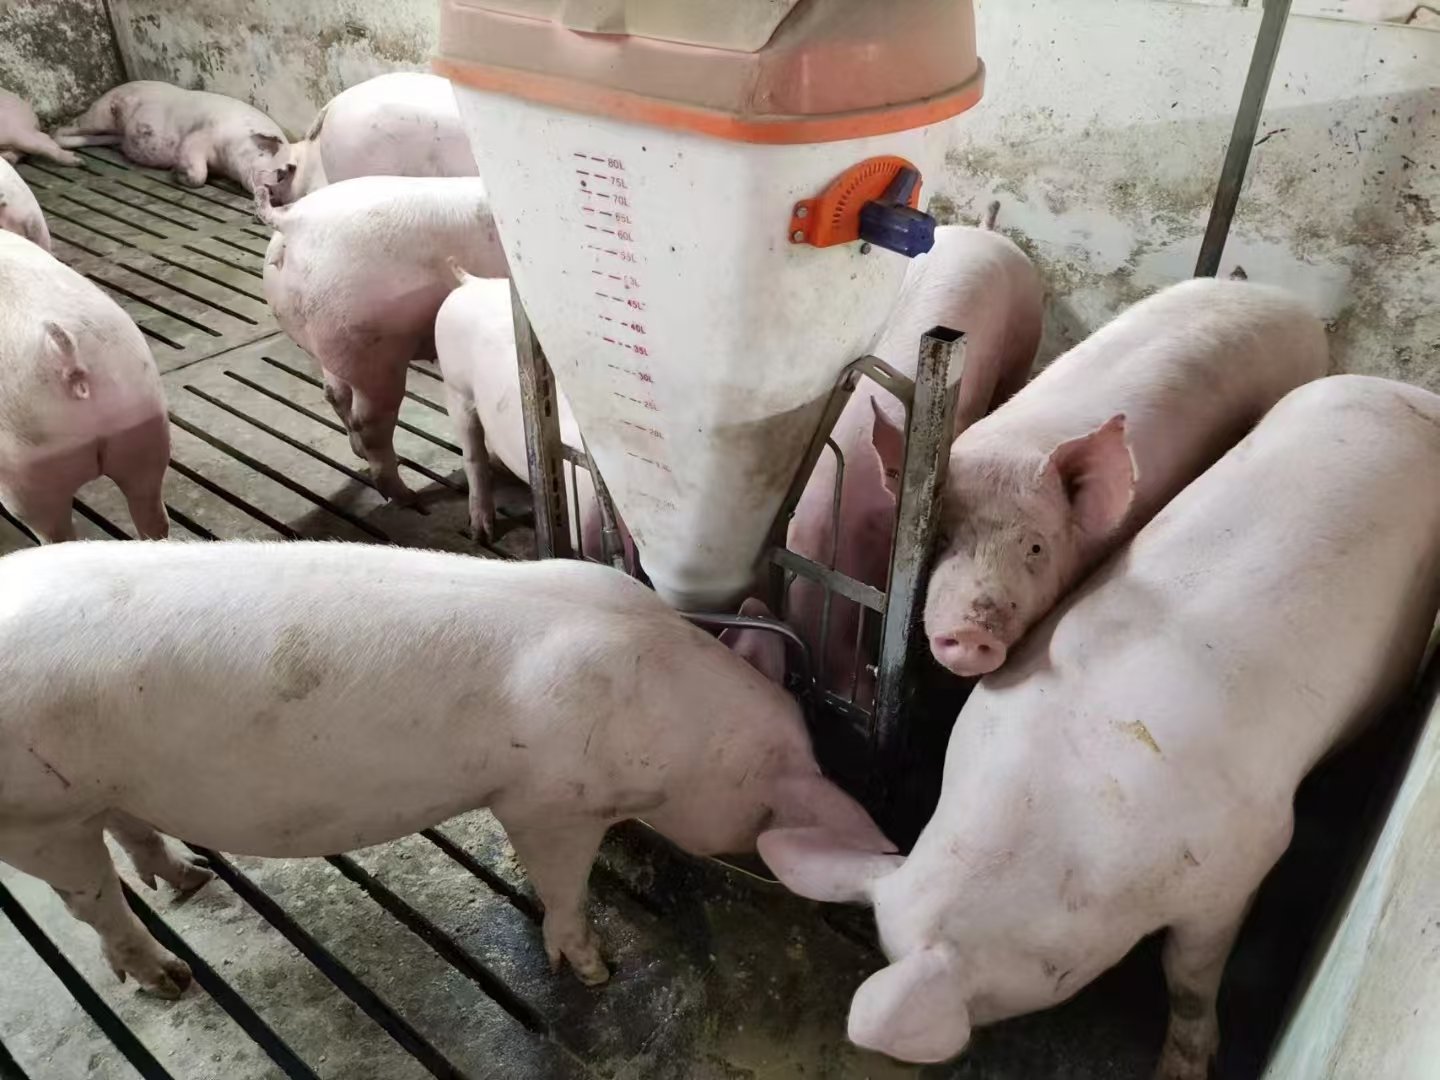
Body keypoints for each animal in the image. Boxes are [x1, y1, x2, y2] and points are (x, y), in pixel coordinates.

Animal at [0, 541, 893, 996]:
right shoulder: (548, 799)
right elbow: (562, 882)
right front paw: (595, 970)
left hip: (96, 788)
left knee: (128, 830)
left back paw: (187, 879)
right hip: (35, 814)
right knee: (89, 902)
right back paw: (169, 976)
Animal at [53, 81, 290, 193]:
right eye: (279, 172)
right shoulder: (199, 137)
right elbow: (198, 173)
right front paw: (177, 174)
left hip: (111, 132)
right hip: (101, 114)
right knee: (62, 130)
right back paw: (74, 157)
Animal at [257, 177, 507, 504]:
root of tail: (291, 220)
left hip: (332, 343)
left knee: (335, 394)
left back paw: (361, 455)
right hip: (372, 352)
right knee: (371, 423)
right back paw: (405, 496)